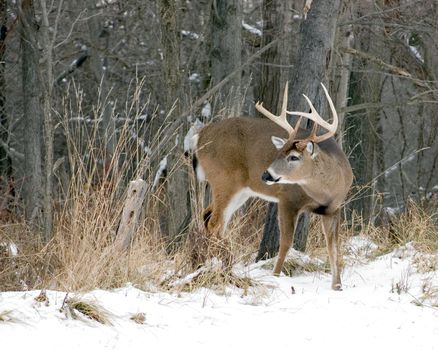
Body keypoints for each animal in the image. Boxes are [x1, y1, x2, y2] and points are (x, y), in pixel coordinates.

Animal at [192, 82, 352, 290]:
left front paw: (337, 285)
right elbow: (286, 242)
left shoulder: (333, 209)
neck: (325, 191)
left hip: (241, 191)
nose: (266, 174)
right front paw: (276, 276)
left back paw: (218, 260)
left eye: (294, 157)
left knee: (212, 218)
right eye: (279, 152)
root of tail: (199, 137)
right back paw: (222, 262)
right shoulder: (287, 199)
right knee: (214, 222)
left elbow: (333, 246)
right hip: (224, 179)